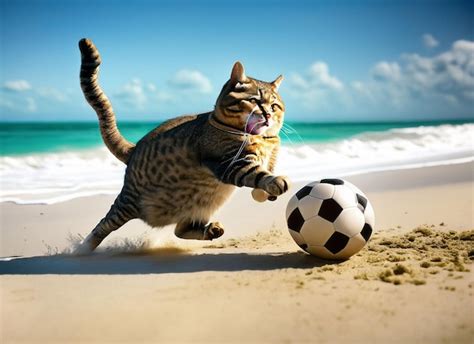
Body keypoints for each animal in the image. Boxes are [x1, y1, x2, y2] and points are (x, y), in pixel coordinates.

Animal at [77, 38, 288, 253]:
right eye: (254, 101)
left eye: (274, 106)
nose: (268, 115)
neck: (261, 139)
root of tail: (134, 148)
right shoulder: (231, 163)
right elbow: (258, 173)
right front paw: (274, 181)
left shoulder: (269, 155)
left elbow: (263, 177)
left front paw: (265, 192)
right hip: (127, 203)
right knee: (103, 225)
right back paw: (81, 250)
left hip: (202, 203)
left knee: (180, 229)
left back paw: (210, 230)